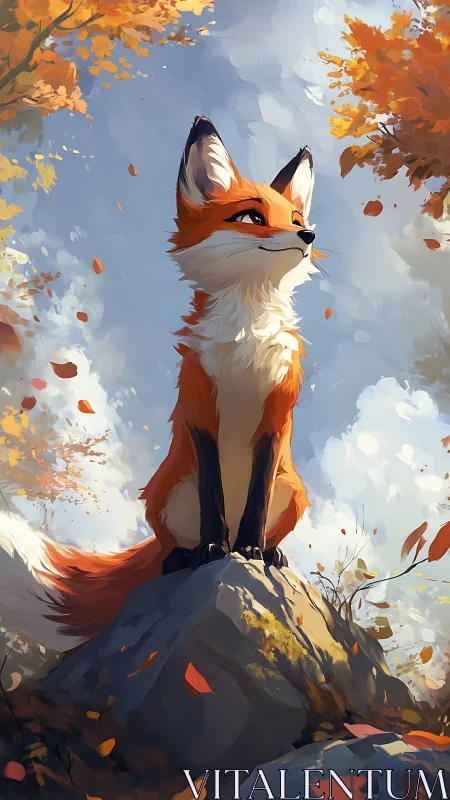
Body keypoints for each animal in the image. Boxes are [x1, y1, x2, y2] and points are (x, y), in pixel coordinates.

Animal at [0, 116, 318, 650]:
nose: (309, 234)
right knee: (173, 546)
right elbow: (214, 494)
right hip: (166, 494)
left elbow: (254, 501)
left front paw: (251, 550)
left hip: (291, 493)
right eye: (252, 217)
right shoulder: (199, 407)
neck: (245, 342)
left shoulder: (277, 415)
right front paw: (214, 548)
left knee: (267, 523)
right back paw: (187, 557)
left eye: (295, 218)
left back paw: (269, 553)